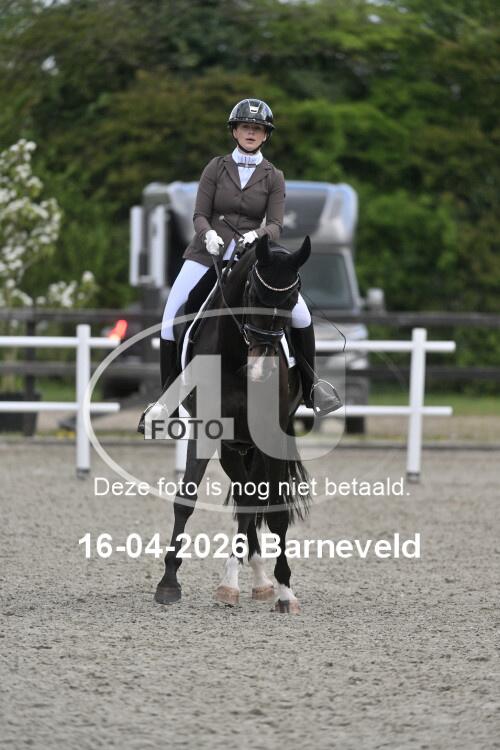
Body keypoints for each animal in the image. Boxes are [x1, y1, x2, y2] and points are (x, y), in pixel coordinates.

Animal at [154, 233, 313, 613]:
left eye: (292, 301)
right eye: (253, 296)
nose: (261, 369)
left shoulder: (270, 433)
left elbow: (277, 512)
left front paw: (285, 591)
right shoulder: (207, 429)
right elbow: (185, 499)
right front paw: (168, 583)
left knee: (252, 500)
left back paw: (253, 579)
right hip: (232, 446)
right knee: (245, 497)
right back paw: (238, 579)